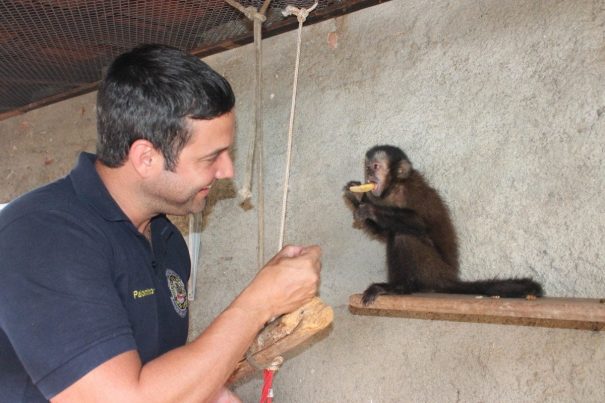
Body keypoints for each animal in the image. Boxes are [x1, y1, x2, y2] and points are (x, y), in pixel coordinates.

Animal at [344, 145, 544, 306]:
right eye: (368, 167)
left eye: (376, 166)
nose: (369, 174)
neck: (394, 186)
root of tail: (447, 277)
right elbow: (383, 232)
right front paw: (356, 197)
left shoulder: (408, 190)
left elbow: (419, 223)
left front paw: (369, 207)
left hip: (432, 269)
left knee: (405, 234)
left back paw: (399, 287)